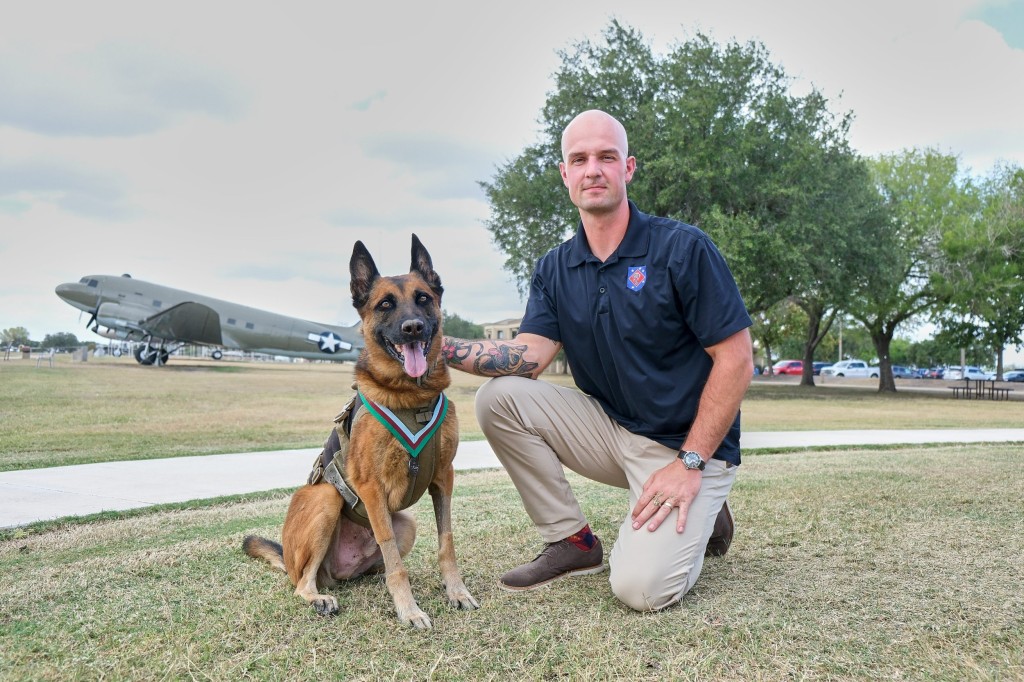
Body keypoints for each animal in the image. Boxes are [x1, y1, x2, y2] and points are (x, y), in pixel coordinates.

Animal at [241, 235, 477, 626]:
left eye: (423, 298)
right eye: (385, 305)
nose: (413, 327)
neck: (411, 396)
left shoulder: (444, 476)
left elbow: (446, 542)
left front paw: (455, 591)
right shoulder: (370, 486)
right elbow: (395, 558)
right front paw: (409, 609)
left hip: (405, 522)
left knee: (377, 564)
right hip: (326, 499)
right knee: (304, 582)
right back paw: (319, 597)